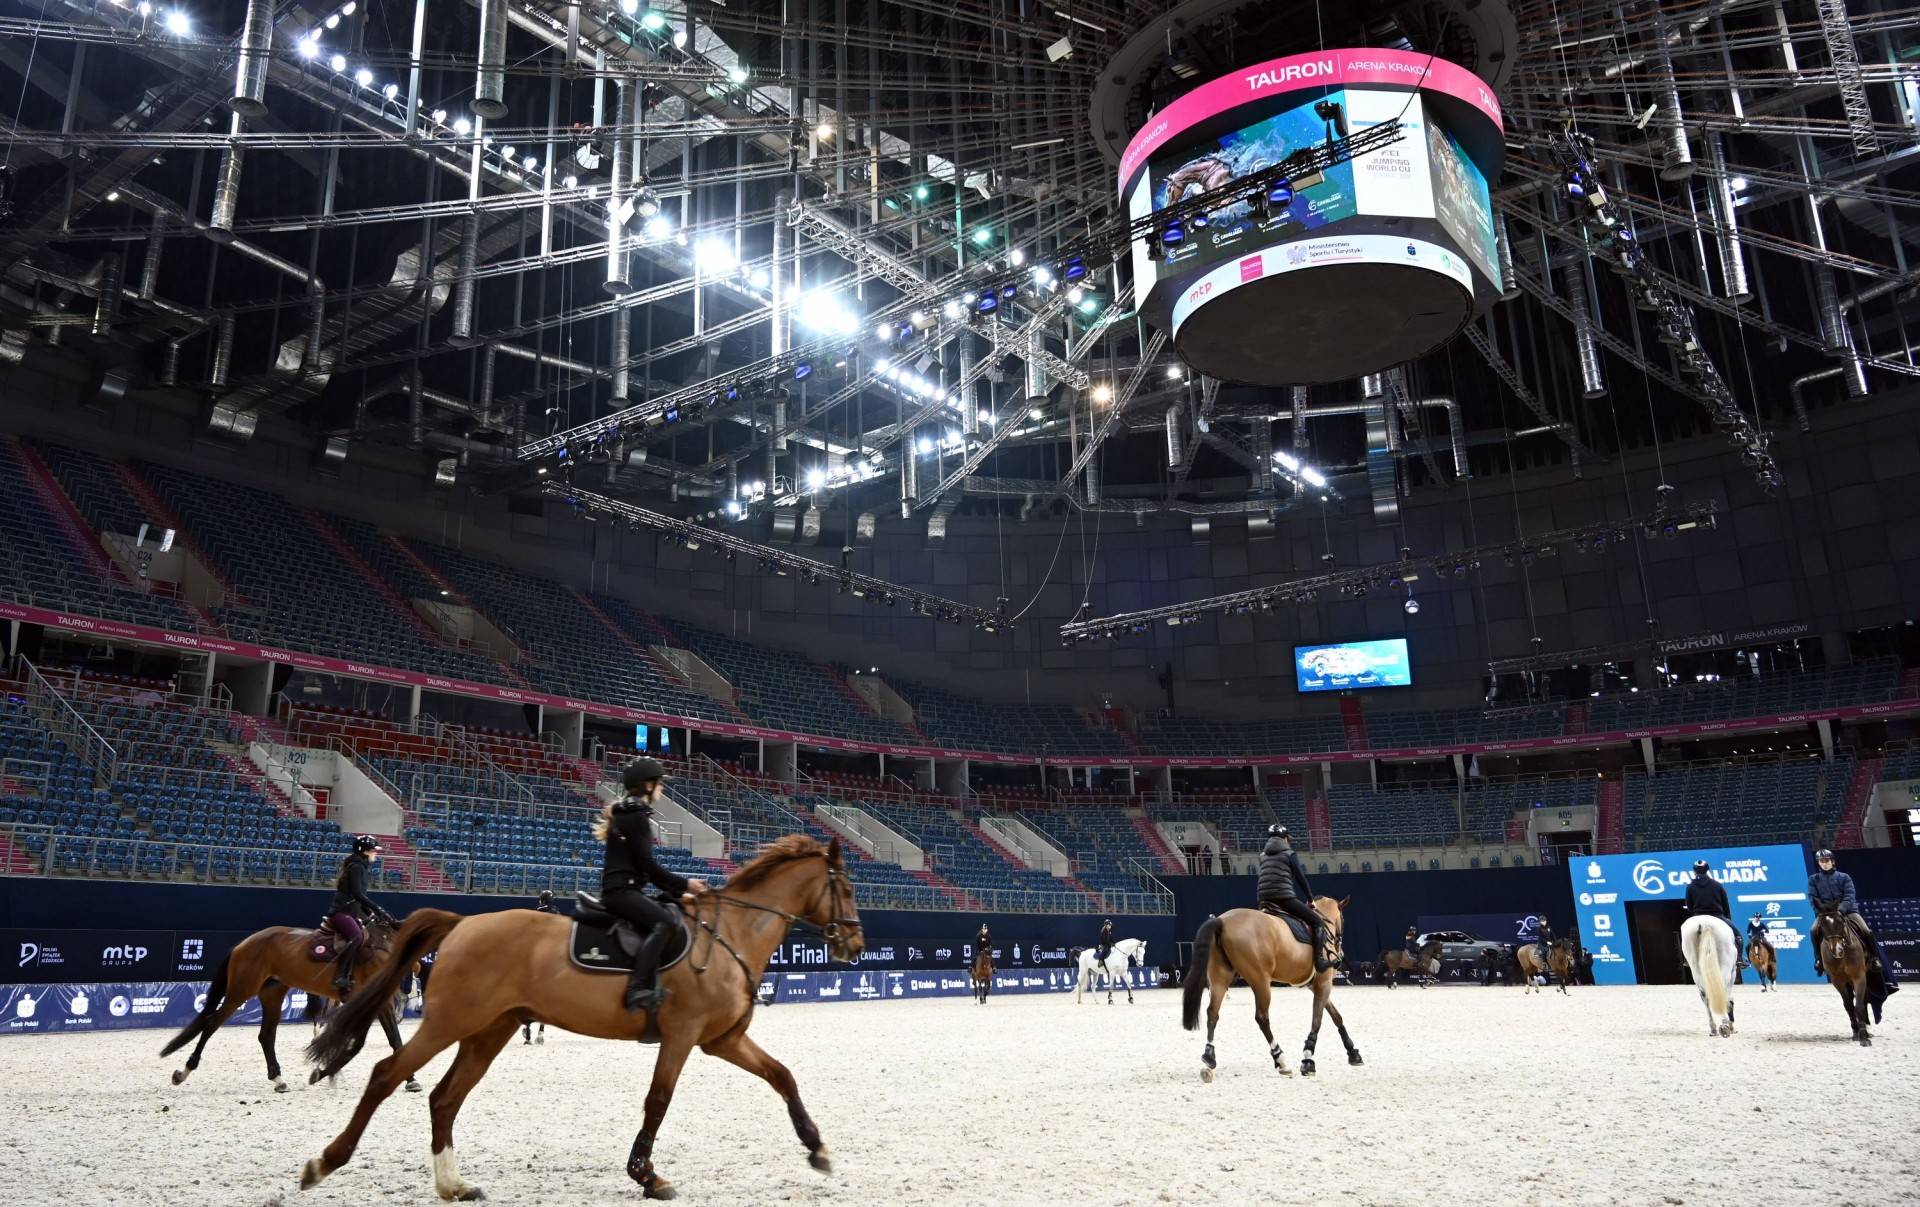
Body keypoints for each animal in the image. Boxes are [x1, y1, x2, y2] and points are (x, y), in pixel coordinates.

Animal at [161, 917, 424, 1097]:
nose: (416, 1006)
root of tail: (244, 943)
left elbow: (385, 1041)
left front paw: (410, 1079)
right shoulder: (377, 1003)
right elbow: (372, 1042)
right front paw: (321, 1072)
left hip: (272, 994)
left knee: (266, 1036)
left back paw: (279, 1080)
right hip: (240, 991)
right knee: (212, 1025)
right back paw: (183, 1072)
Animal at [299, 832, 864, 1197]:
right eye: (847, 888)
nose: (855, 945)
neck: (729, 935)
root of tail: (463, 923)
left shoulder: (722, 1039)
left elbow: (782, 1076)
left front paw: (817, 1149)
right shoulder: (681, 1036)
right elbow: (658, 1101)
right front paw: (646, 1175)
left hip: (489, 1030)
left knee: (445, 1097)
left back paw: (452, 1184)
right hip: (448, 1022)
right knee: (387, 1075)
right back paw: (324, 1162)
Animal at [1175, 894, 1359, 1082]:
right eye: (1343, 920)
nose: (1340, 954)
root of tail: (1222, 920)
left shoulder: (1316, 985)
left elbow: (1336, 1016)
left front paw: (1353, 1053)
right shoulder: (1324, 983)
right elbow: (1318, 1020)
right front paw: (1308, 1060)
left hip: (1220, 979)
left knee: (1212, 1013)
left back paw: (1209, 1058)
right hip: (1260, 981)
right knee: (1262, 1018)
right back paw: (1281, 1060)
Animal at [1812, 898, 1873, 1043]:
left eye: (1840, 922)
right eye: (1822, 926)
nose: (1837, 950)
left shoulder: (1859, 977)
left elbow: (1859, 1005)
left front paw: (1864, 1037)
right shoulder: (1837, 981)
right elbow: (1849, 1005)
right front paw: (1856, 1033)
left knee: (1864, 1001)